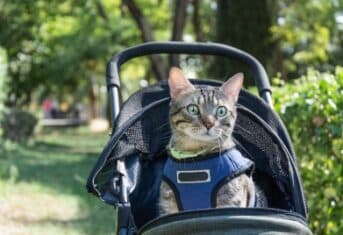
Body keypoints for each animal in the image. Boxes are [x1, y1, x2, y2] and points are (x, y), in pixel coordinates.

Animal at [160, 66, 268, 215]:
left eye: (221, 111)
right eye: (193, 109)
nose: (209, 123)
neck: (196, 157)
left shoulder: (229, 202)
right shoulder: (168, 205)